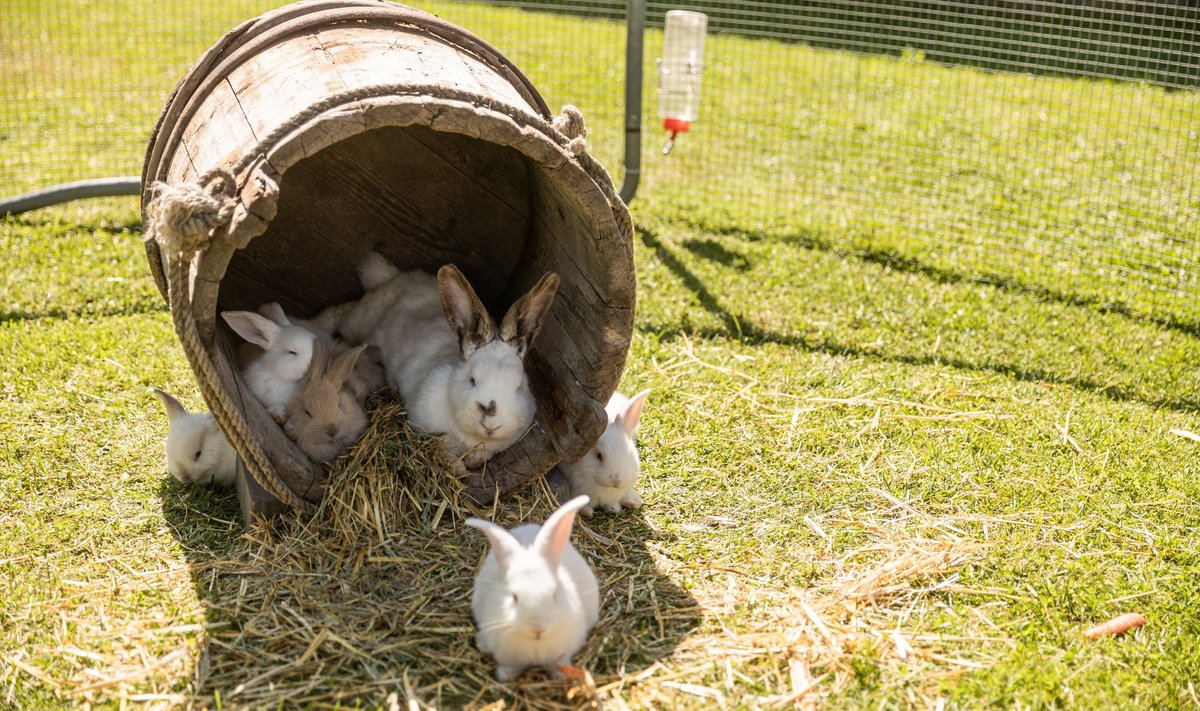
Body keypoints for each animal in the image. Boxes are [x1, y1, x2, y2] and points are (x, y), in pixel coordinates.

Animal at [343, 254, 556, 465]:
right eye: (472, 380)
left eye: (519, 387)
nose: (491, 425)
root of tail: (395, 276)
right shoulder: (433, 430)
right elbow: (447, 455)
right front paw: (459, 468)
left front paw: (473, 462)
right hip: (361, 321)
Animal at [465, 494, 600, 682]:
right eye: (514, 597)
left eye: (554, 594)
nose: (537, 629)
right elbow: (509, 666)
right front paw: (505, 676)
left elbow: (560, 662)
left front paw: (560, 675)